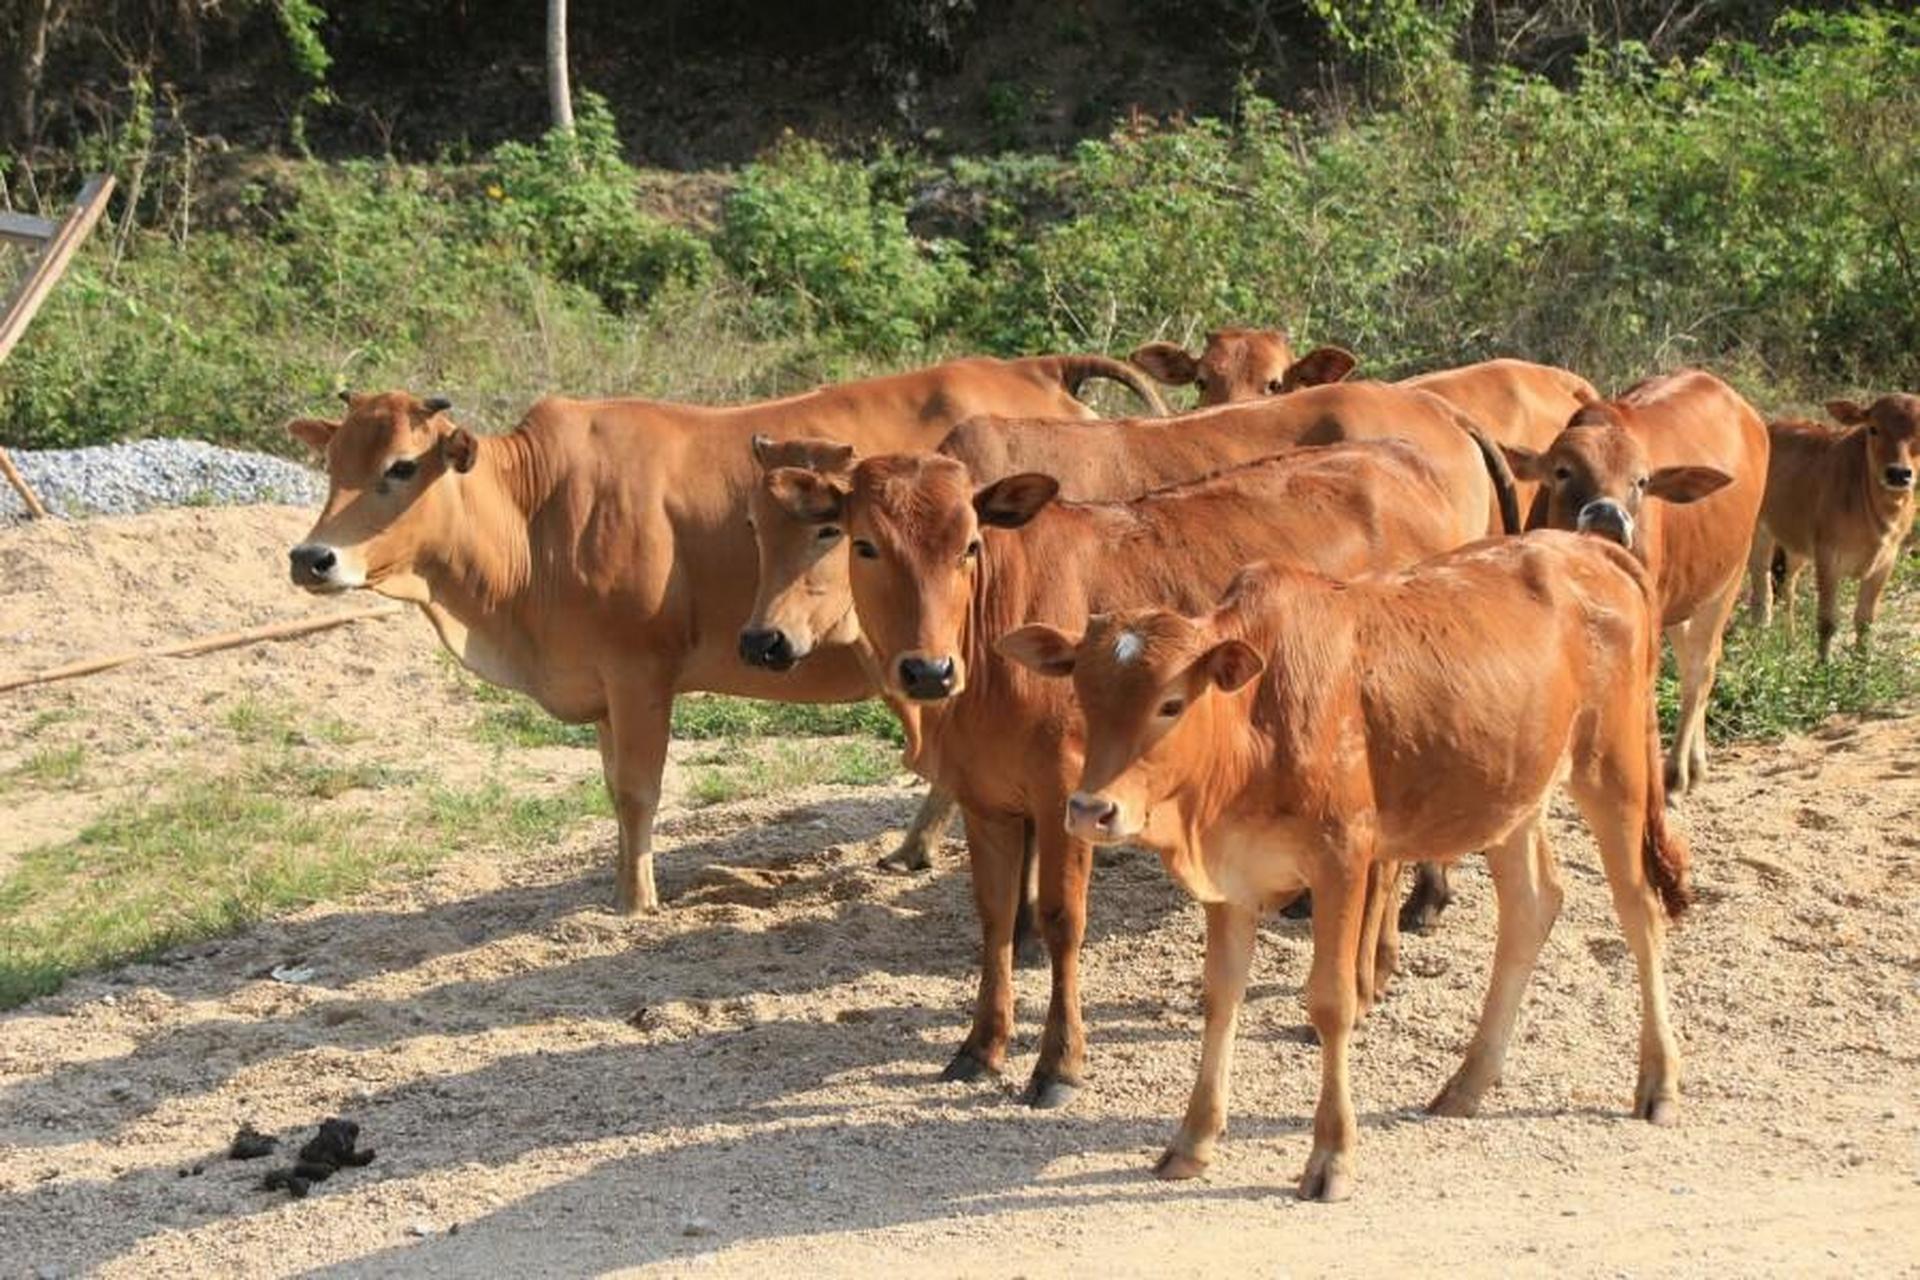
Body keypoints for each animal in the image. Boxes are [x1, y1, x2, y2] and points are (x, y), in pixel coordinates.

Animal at [286, 351, 1167, 909]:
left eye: (402, 467)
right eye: (334, 465)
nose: (311, 557)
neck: (535, 511)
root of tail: (1037, 369)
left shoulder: (640, 672)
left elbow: (637, 791)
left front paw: (635, 900)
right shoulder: (603, 688)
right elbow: (614, 788)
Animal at [748, 435, 1497, 1105]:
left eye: (969, 546)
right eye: (864, 544)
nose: (928, 670)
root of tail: (1401, 454)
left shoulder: (1067, 794)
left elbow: (1061, 919)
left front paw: (1058, 1064)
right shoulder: (985, 799)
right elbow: (994, 917)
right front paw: (981, 1046)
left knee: (1385, 865)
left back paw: (1367, 980)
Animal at [1006, 529, 1697, 1205]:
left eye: (1171, 704)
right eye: (1083, 696)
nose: (1091, 809)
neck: (1255, 718)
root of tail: (1586, 546)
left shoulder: (1342, 857)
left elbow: (1332, 1002)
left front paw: (1331, 1157)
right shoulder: (1232, 875)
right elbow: (1220, 996)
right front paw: (1192, 1140)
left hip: (1613, 767)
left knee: (1639, 911)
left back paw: (1659, 1081)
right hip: (1508, 791)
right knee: (1532, 907)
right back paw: (1468, 1082)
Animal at [1751, 395, 1912, 660]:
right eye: (1873, 428)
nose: (1898, 474)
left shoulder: (1886, 561)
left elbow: (1865, 622)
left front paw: (1861, 665)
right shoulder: (1828, 557)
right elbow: (1828, 622)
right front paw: (1823, 665)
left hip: (1795, 545)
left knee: (1787, 585)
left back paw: (1789, 639)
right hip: (1759, 532)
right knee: (1761, 585)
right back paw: (1760, 636)